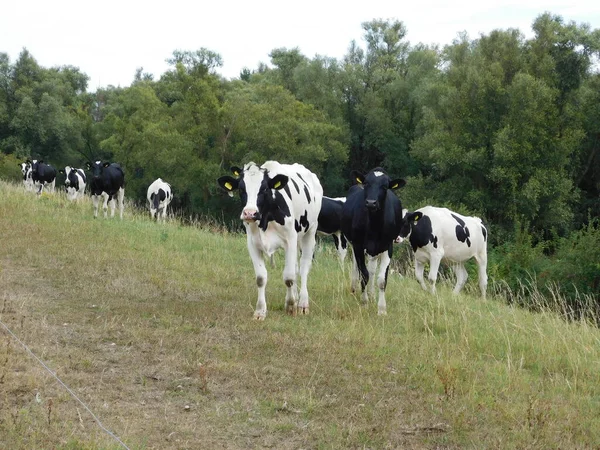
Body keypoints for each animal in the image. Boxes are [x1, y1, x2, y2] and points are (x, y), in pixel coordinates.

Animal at [218, 162, 324, 320]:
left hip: (310, 232)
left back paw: (303, 303)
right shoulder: (252, 243)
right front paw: (260, 311)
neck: (266, 217)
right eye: (241, 189)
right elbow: (261, 278)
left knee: (304, 267)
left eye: (264, 189)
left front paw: (291, 306)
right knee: (296, 267)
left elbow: (289, 277)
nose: (250, 213)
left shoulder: (290, 239)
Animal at [340, 167, 406, 314]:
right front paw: (364, 302)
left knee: (372, 270)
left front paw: (381, 309)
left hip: (375, 250)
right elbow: (363, 274)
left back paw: (371, 295)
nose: (371, 202)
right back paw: (355, 289)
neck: (374, 226)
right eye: (366, 183)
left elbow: (381, 279)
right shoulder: (358, 245)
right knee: (358, 267)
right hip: (355, 244)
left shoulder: (388, 246)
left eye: (385, 187)